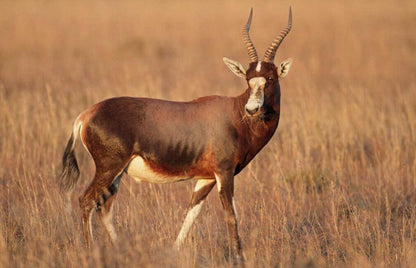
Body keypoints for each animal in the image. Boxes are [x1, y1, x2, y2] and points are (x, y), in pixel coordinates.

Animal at [58, 7, 292, 262]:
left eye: (270, 78)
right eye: (247, 79)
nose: (252, 109)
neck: (233, 112)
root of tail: (85, 115)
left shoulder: (207, 178)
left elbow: (191, 213)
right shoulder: (224, 172)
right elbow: (231, 215)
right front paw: (239, 257)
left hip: (117, 173)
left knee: (105, 208)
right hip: (108, 168)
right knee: (86, 201)